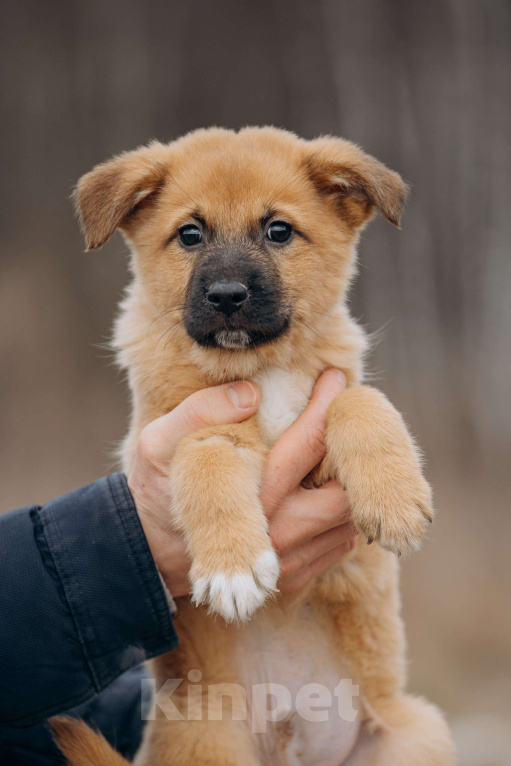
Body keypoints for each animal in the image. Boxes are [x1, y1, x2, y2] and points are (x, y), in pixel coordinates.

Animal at [54, 129, 456, 764]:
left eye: (279, 231)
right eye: (190, 234)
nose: (226, 295)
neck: (258, 368)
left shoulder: (326, 412)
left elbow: (359, 402)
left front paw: (395, 500)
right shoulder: (180, 432)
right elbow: (207, 459)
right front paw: (234, 567)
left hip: (416, 732)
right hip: (210, 743)